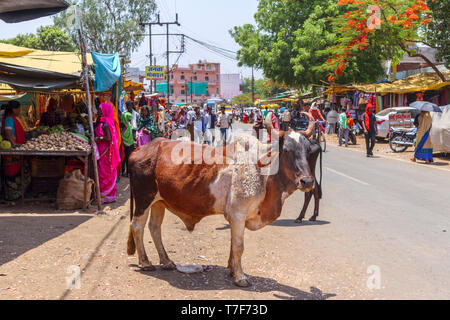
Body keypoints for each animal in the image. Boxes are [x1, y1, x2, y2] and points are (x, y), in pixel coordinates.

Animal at [125, 113, 316, 288]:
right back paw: (145, 262)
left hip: (159, 202)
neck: (262, 171)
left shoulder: (235, 217)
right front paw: (240, 277)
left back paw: (166, 261)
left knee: (154, 228)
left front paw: (232, 271)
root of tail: (140, 149)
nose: (307, 181)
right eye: (287, 150)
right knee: (137, 226)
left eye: (308, 151)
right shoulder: (238, 215)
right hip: (144, 199)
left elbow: (233, 246)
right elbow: (238, 247)